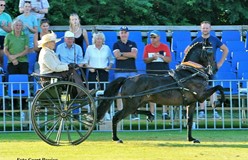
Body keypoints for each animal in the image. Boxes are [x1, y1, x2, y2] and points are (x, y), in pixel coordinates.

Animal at [96, 41, 225, 144]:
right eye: (210, 52)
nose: (215, 69)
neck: (190, 72)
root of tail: (128, 78)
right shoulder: (201, 96)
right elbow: (218, 87)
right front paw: (218, 102)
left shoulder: (192, 103)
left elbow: (189, 121)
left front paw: (191, 139)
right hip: (131, 104)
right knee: (117, 116)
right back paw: (116, 138)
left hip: (136, 102)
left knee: (133, 111)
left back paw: (149, 115)